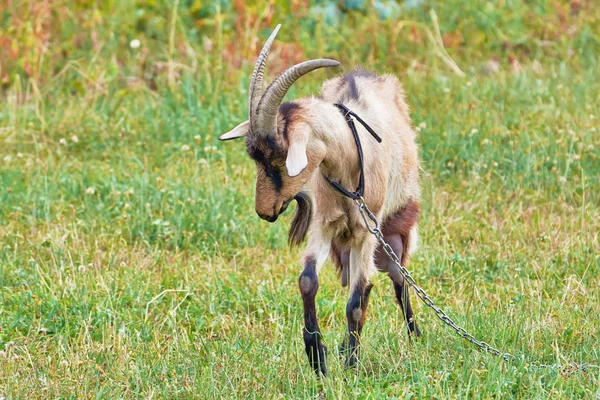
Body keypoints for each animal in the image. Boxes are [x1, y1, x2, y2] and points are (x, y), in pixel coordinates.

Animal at [220, 25, 422, 376]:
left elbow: (356, 301)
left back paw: (415, 337)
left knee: (394, 279)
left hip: (395, 230)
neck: (350, 156)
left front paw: (352, 364)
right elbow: (307, 280)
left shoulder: (367, 230)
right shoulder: (324, 224)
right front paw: (318, 356)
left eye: (279, 156)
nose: (265, 211)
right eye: (255, 157)